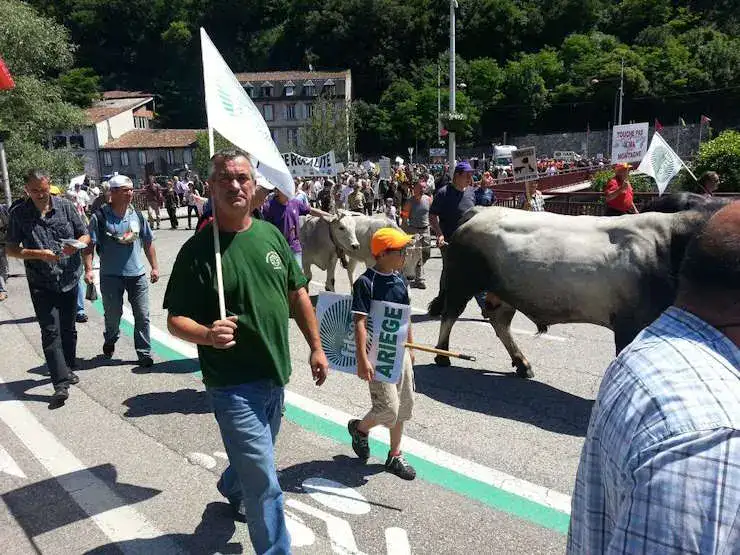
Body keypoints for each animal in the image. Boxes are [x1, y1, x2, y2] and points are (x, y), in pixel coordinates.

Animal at [428, 202, 728, 380]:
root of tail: (480, 211)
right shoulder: (631, 324)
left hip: (502, 291)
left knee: (499, 322)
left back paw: (522, 363)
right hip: (462, 282)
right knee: (450, 314)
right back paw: (442, 355)